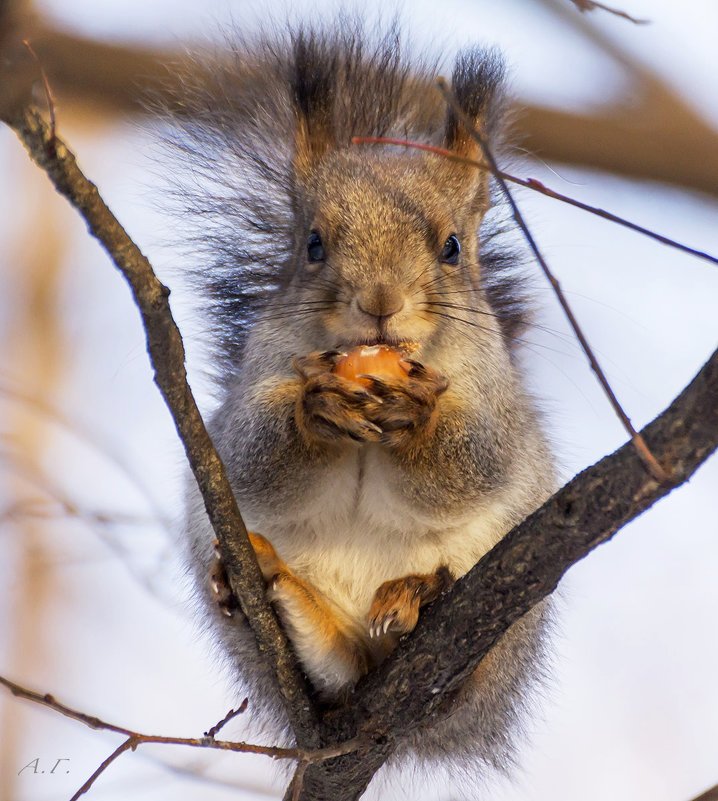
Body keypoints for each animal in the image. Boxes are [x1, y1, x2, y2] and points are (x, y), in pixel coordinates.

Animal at [169, 18, 556, 780]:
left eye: (452, 247)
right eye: (313, 244)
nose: (380, 301)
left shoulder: (493, 393)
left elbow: (476, 460)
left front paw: (418, 418)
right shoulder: (258, 377)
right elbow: (251, 458)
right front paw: (314, 412)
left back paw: (420, 599)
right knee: (338, 664)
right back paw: (278, 592)